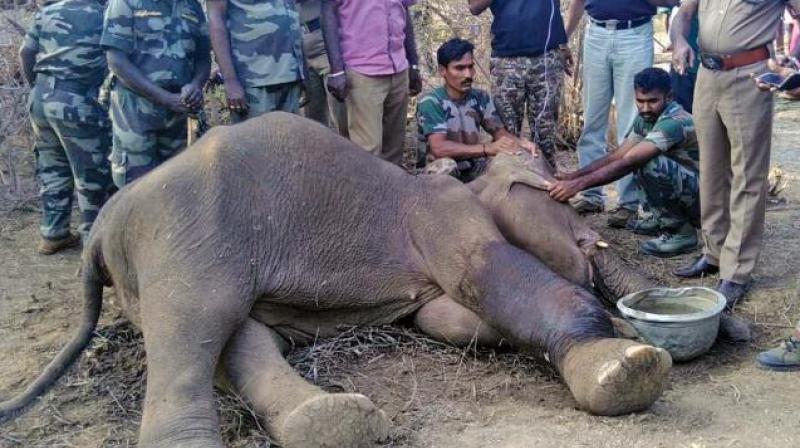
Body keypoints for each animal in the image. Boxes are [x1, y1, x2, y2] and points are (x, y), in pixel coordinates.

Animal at [0, 113, 672, 448]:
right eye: (567, 206)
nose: (590, 238)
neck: (467, 178)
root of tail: (101, 226)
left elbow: (452, 320)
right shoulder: (445, 218)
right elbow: (487, 271)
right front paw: (628, 362)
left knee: (239, 339)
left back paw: (332, 423)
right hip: (182, 240)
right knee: (193, 328)